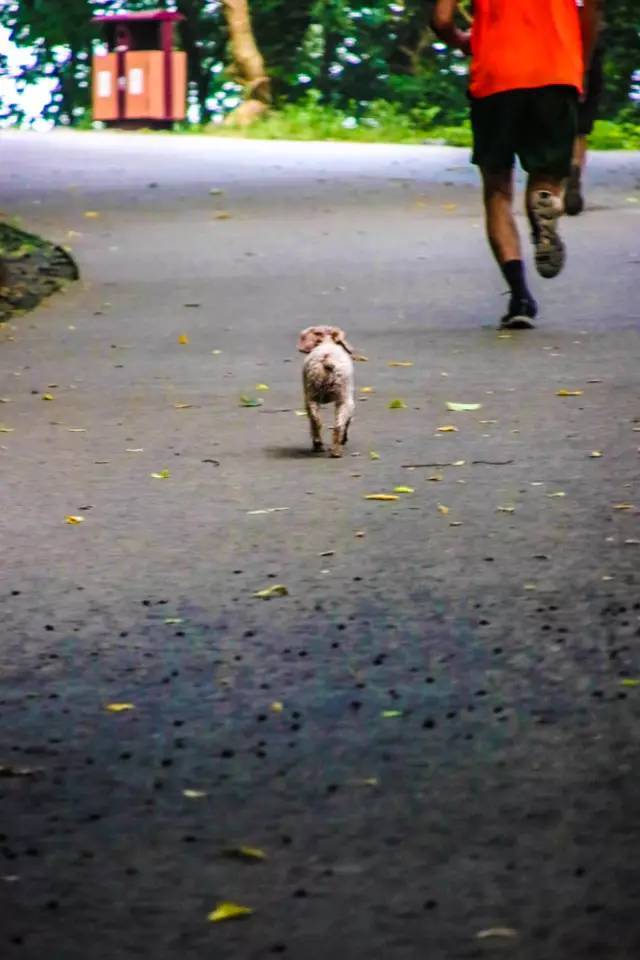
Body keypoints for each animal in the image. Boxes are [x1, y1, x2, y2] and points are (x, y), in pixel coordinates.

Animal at [296, 322, 356, 458]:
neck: (326, 342)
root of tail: (326, 359)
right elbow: (348, 421)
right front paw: (345, 439)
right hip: (343, 397)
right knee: (338, 426)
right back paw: (336, 451)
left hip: (311, 396)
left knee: (316, 421)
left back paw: (318, 445)